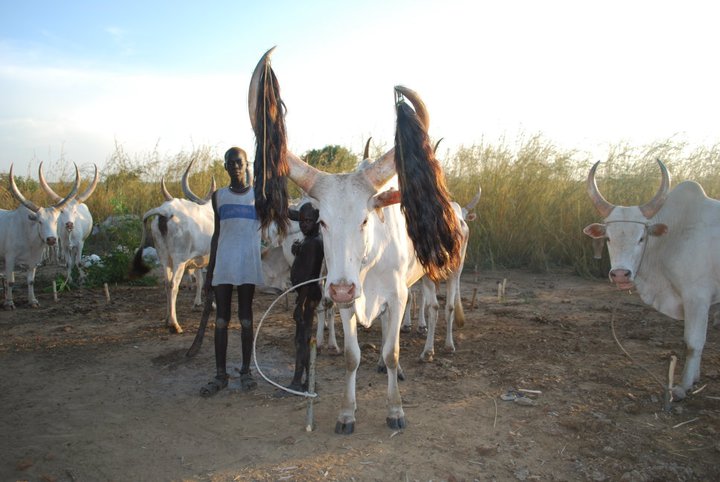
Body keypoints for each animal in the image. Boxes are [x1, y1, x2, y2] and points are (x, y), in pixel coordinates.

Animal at [0, 165, 80, 308]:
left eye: (56, 221)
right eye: (40, 222)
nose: (51, 239)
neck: (29, 239)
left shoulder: (34, 261)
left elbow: (31, 281)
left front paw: (33, 301)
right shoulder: (9, 258)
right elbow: (10, 281)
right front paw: (9, 303)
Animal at [584, 160, 720, 402]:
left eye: (641, 237)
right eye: (608, 238)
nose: (620, 274)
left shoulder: (697, 298)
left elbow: (693, 343)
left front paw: (683, 386)